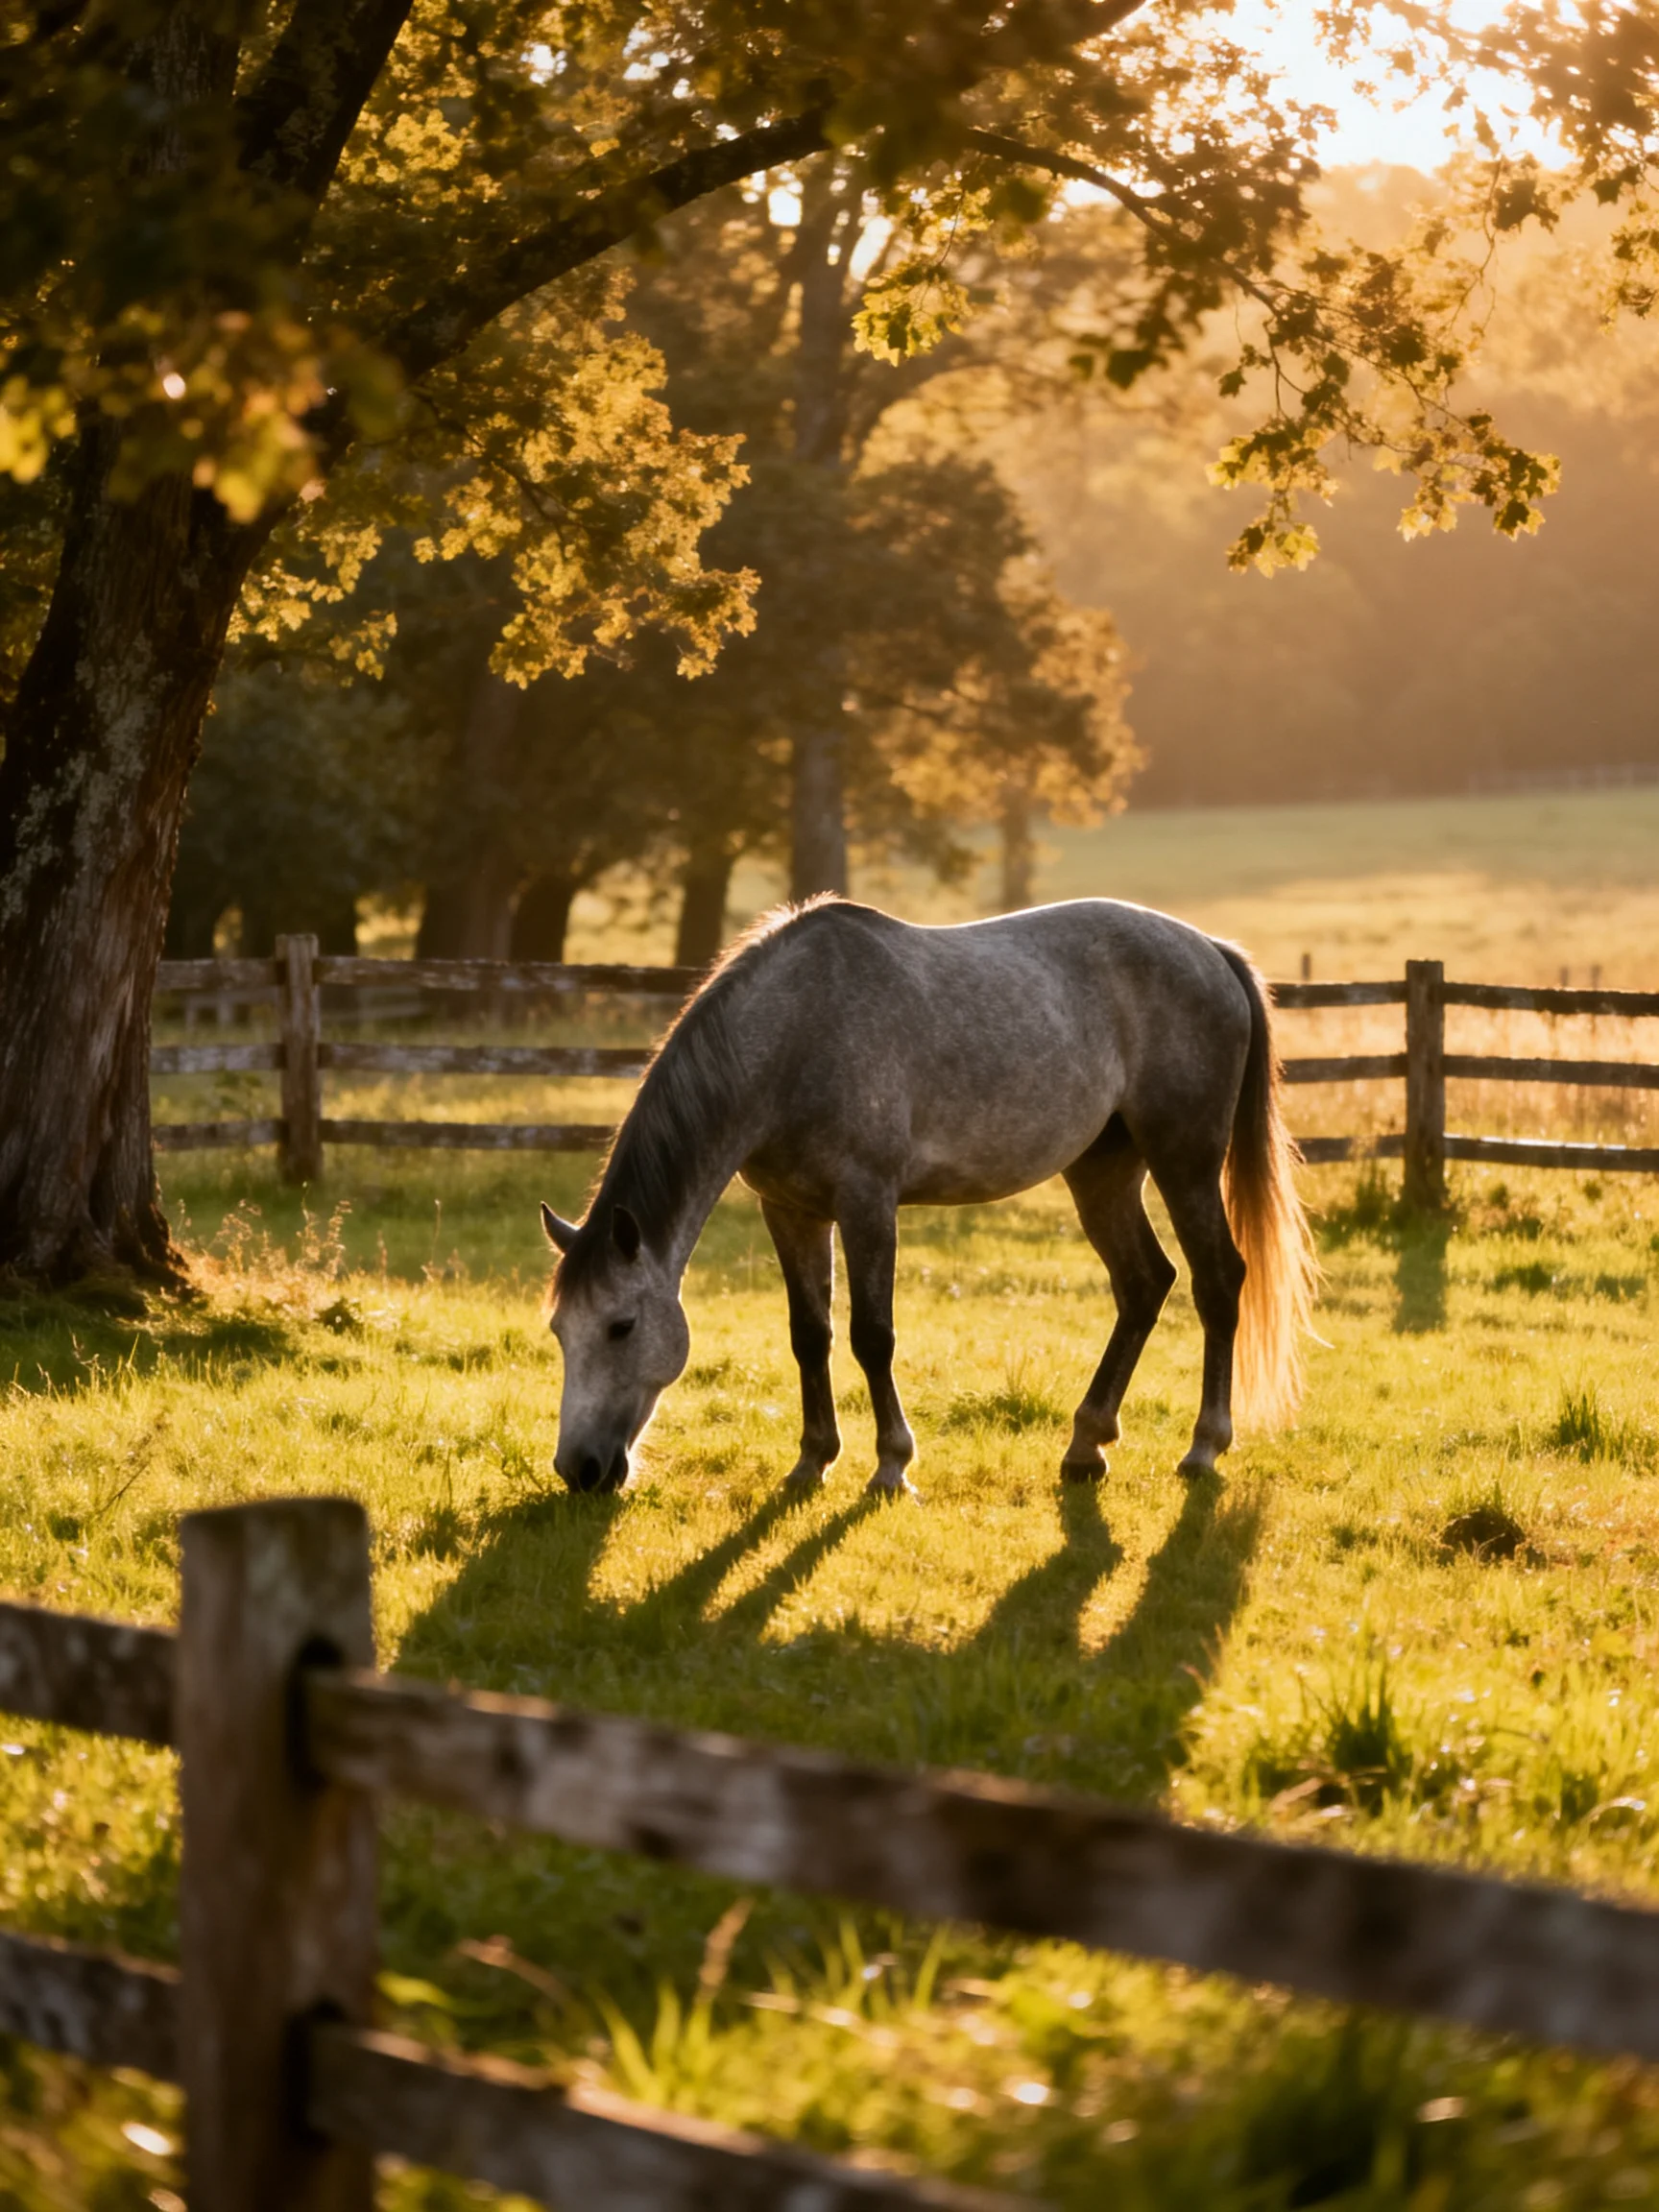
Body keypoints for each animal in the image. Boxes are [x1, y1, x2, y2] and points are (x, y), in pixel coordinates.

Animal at [541, 895, 1318, 1498]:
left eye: (621, 1327)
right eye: (559, 1332)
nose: (581, 1469)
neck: (796, 1034)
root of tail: (1211, 951)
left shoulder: (867, 1203)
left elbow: (871, 1335)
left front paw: (891, 1466)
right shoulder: (790, 1211)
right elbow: (809, 1335)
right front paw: (811, 1462)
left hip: (1185, 1162)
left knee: (1218, 1282)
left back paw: (1204, 1446)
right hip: (1103, 1172)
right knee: (1144, 1283)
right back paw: (1085, 1446)